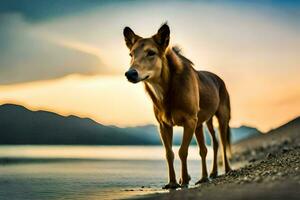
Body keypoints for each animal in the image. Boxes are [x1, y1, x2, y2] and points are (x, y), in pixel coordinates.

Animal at [123, 23, 231, 189]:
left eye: (151, 53)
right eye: (131, 54)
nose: (130, 73)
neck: (166, 91)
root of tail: (219, 79)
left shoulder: (189, 120)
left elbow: (182, 151)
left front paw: (184, 180)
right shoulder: (164, 124)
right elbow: (169, 154)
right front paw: (173, 182)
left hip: (222, 117)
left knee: (223, 143)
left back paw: (227, 170)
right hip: (203, 122)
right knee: (208, 146)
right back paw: (207, 176)